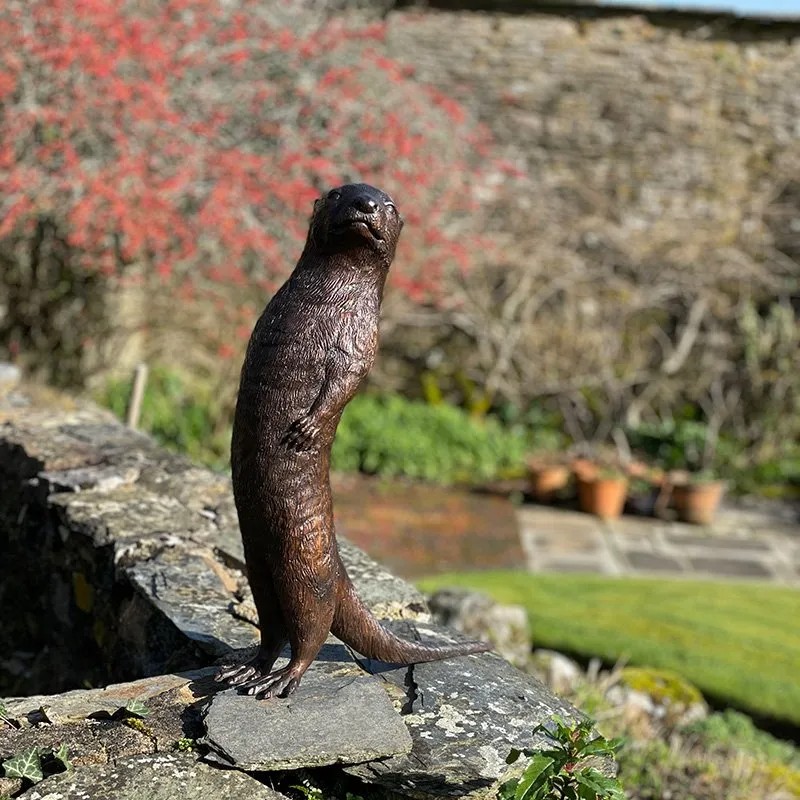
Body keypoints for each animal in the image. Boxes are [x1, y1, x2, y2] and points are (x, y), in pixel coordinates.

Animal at [215, 183, 489, 699]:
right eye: (339, 192)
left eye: (390, 205)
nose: (366, 204)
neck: (326, 304)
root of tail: (341, 570)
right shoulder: (266, 322)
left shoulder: (363, 339)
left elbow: (348, 381)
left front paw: (307, 428)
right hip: (257, 559)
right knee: (272, 626)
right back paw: (246, 669)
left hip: (304, 563)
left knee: (311, 627)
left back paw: (283, 679)